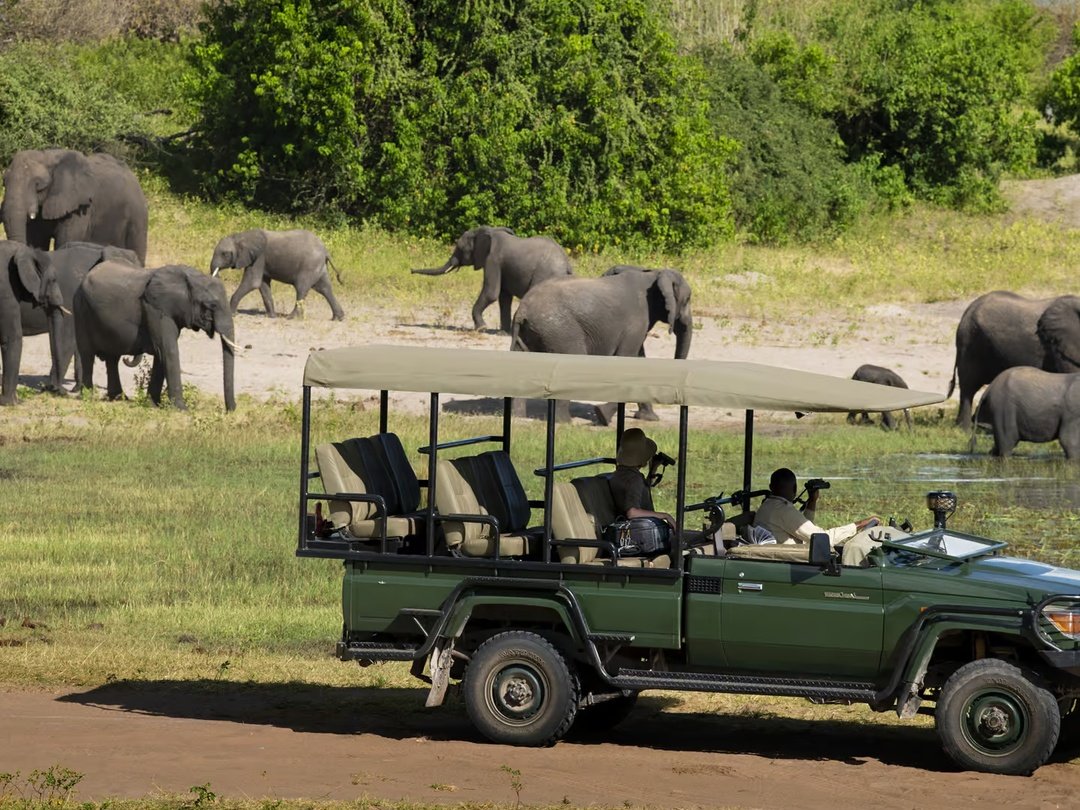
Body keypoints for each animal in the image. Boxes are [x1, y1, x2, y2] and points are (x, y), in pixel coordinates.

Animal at [1, 149, 148, 264]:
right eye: (4, 182)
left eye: (38, 185)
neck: (47, 156)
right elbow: (37, 242)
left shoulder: (80, 207)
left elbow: (65, 242)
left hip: (138, 217)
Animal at [74, 262, 238, 411]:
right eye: (212, 306)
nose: (230, 410)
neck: (190, 279)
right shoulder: (156, 308)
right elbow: (168, 350)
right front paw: (181, 410)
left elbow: (161, 353)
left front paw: (152, 405)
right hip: (81, 309)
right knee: (87, 355)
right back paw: (88, 397)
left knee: (112, 358)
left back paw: (119, 398)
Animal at [210, 228, 345, 320]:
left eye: (224, 254)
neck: (241, 236)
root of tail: (326, 251)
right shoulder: (261, 261)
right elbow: (262, 285)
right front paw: (271, 316)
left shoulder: (259, 257)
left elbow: (253, 282)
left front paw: (232, 314)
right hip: (319, 267)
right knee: (325, 288)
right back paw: (338, 318)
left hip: (309, 265)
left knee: (302, 288)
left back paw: (291, 318)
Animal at [412, 226, 572, 332]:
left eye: (460, 249)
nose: (411, 271)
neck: (486, 230)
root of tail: (567, 264)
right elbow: (504, 298)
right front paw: (503, 332)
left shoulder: (492, 260)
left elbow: (491, 293)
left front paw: (481, 328)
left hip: (544, 274)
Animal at [511, 266, 692, 423]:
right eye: (687, 300)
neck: (654, 274)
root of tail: (522, 310)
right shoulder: (636, 321)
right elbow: (627, 359)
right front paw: (602, 416)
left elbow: (638, 359)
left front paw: (649, 419)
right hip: (560, 330)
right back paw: (565, 422)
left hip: (531, 333)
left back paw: (518, 417)